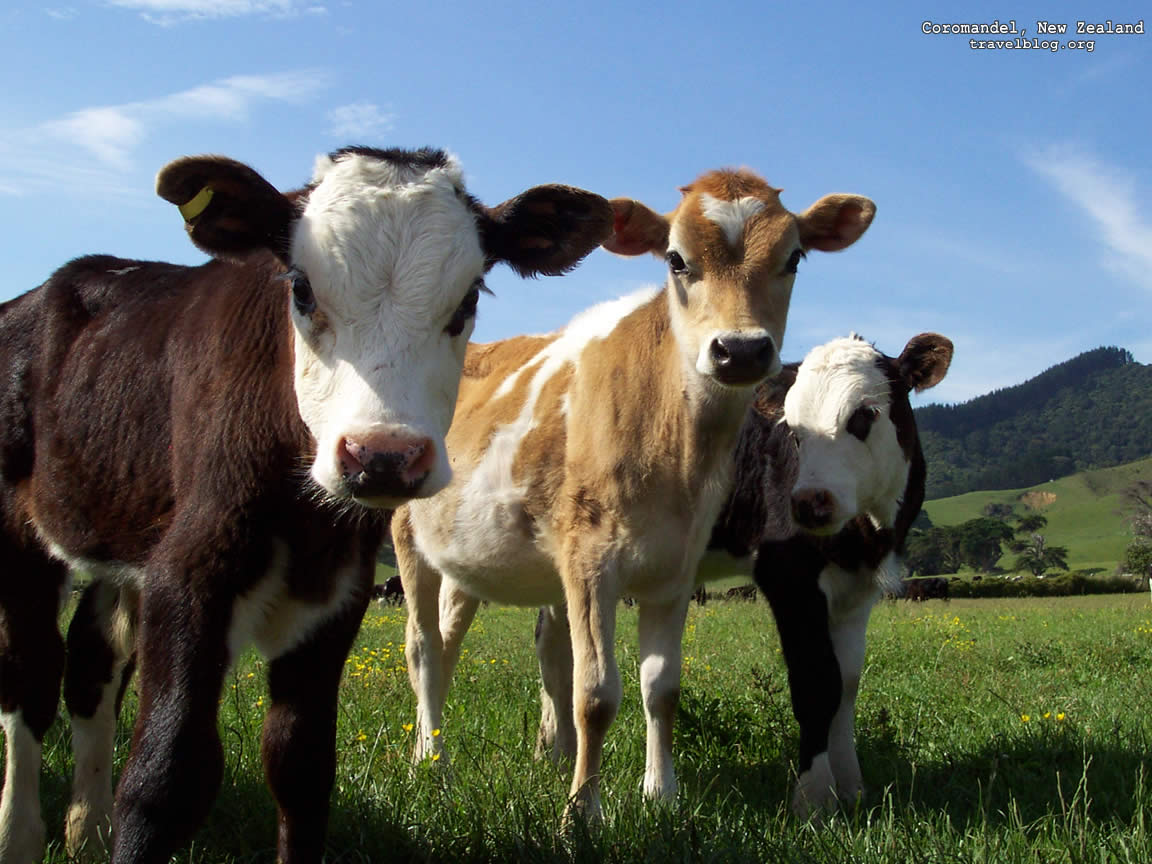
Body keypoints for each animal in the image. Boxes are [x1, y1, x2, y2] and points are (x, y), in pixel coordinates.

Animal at [0, 148, 612, 864]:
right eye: (301, 288)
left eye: (467, 300)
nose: (383, 455)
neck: (304, 523)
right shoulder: (188, 576)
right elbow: (165, 774)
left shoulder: (338, 597)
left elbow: (300, 766)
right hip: (20, 534)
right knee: (32, 676)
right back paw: (20, 833)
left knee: (92, 667)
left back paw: (87, 827)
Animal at [391, 165, 875, 820]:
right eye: (675, 259)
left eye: (794, 256)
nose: (741, 350)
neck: (677, 450)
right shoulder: (589, 560)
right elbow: (595, 694)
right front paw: (581, 813)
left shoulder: (675, 568)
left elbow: (661, 689)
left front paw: (660, 794)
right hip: (406, 535)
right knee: (421, 648)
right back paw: (431, 761)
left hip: (465, 557)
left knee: (447, 645)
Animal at [709, 331, 953, 820]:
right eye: (792, 430)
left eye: (863, 415)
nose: (808, 502)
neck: (865, 536)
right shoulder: (790, 579)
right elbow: (816, 680)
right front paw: (814, 796)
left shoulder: (857, 593)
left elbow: (846, 683)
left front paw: (852, 787)